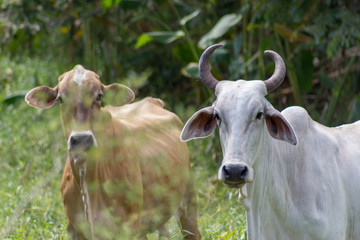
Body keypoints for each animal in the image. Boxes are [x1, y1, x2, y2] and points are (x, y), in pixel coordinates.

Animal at [25, 64, 200, 239]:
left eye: (99, 96)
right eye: (60, 99)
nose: (81, 139)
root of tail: (152, 100)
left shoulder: (128, 228)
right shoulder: (74, 229)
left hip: (188, 200)